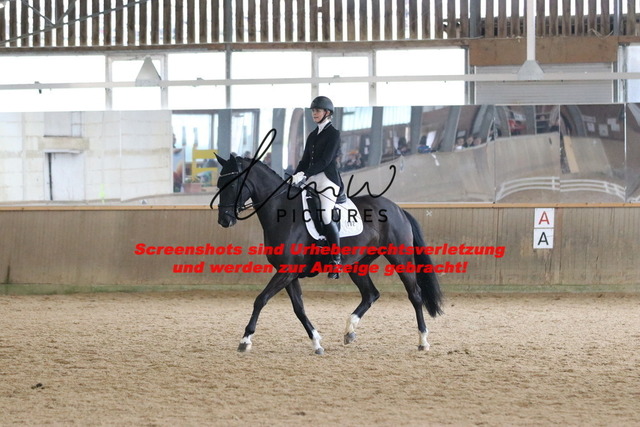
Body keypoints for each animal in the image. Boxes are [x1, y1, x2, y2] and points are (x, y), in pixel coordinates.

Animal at [213, 153, 443, 354]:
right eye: (219, 184)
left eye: (232, 184)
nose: (224, 220)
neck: (282, 213)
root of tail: (398, 209)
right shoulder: (288, 273)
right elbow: (299, 308)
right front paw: (316, 342)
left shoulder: (287, 271)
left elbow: (260, 299)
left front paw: (245, 340)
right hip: (358, 265)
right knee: (371, 294)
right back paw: (349, 331)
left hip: (400, 257)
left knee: (415, 295)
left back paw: (423, 341)